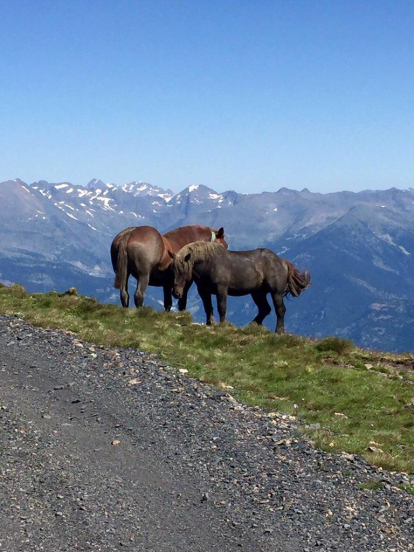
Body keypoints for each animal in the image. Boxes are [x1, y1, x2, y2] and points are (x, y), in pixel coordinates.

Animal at [170, 244, 308, 334]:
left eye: (183, 271)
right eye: (173, 270)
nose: (176, 293)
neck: (209, 263)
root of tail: (282, 261)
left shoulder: (221, 289)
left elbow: (221, 307)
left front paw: (222, 325)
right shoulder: (203, 291)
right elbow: (208, 307)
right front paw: (210, 323)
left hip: (276, 293)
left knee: (280, 310)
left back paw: (279, 331)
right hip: (257, 293)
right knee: (265, 309)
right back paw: (252, 325)